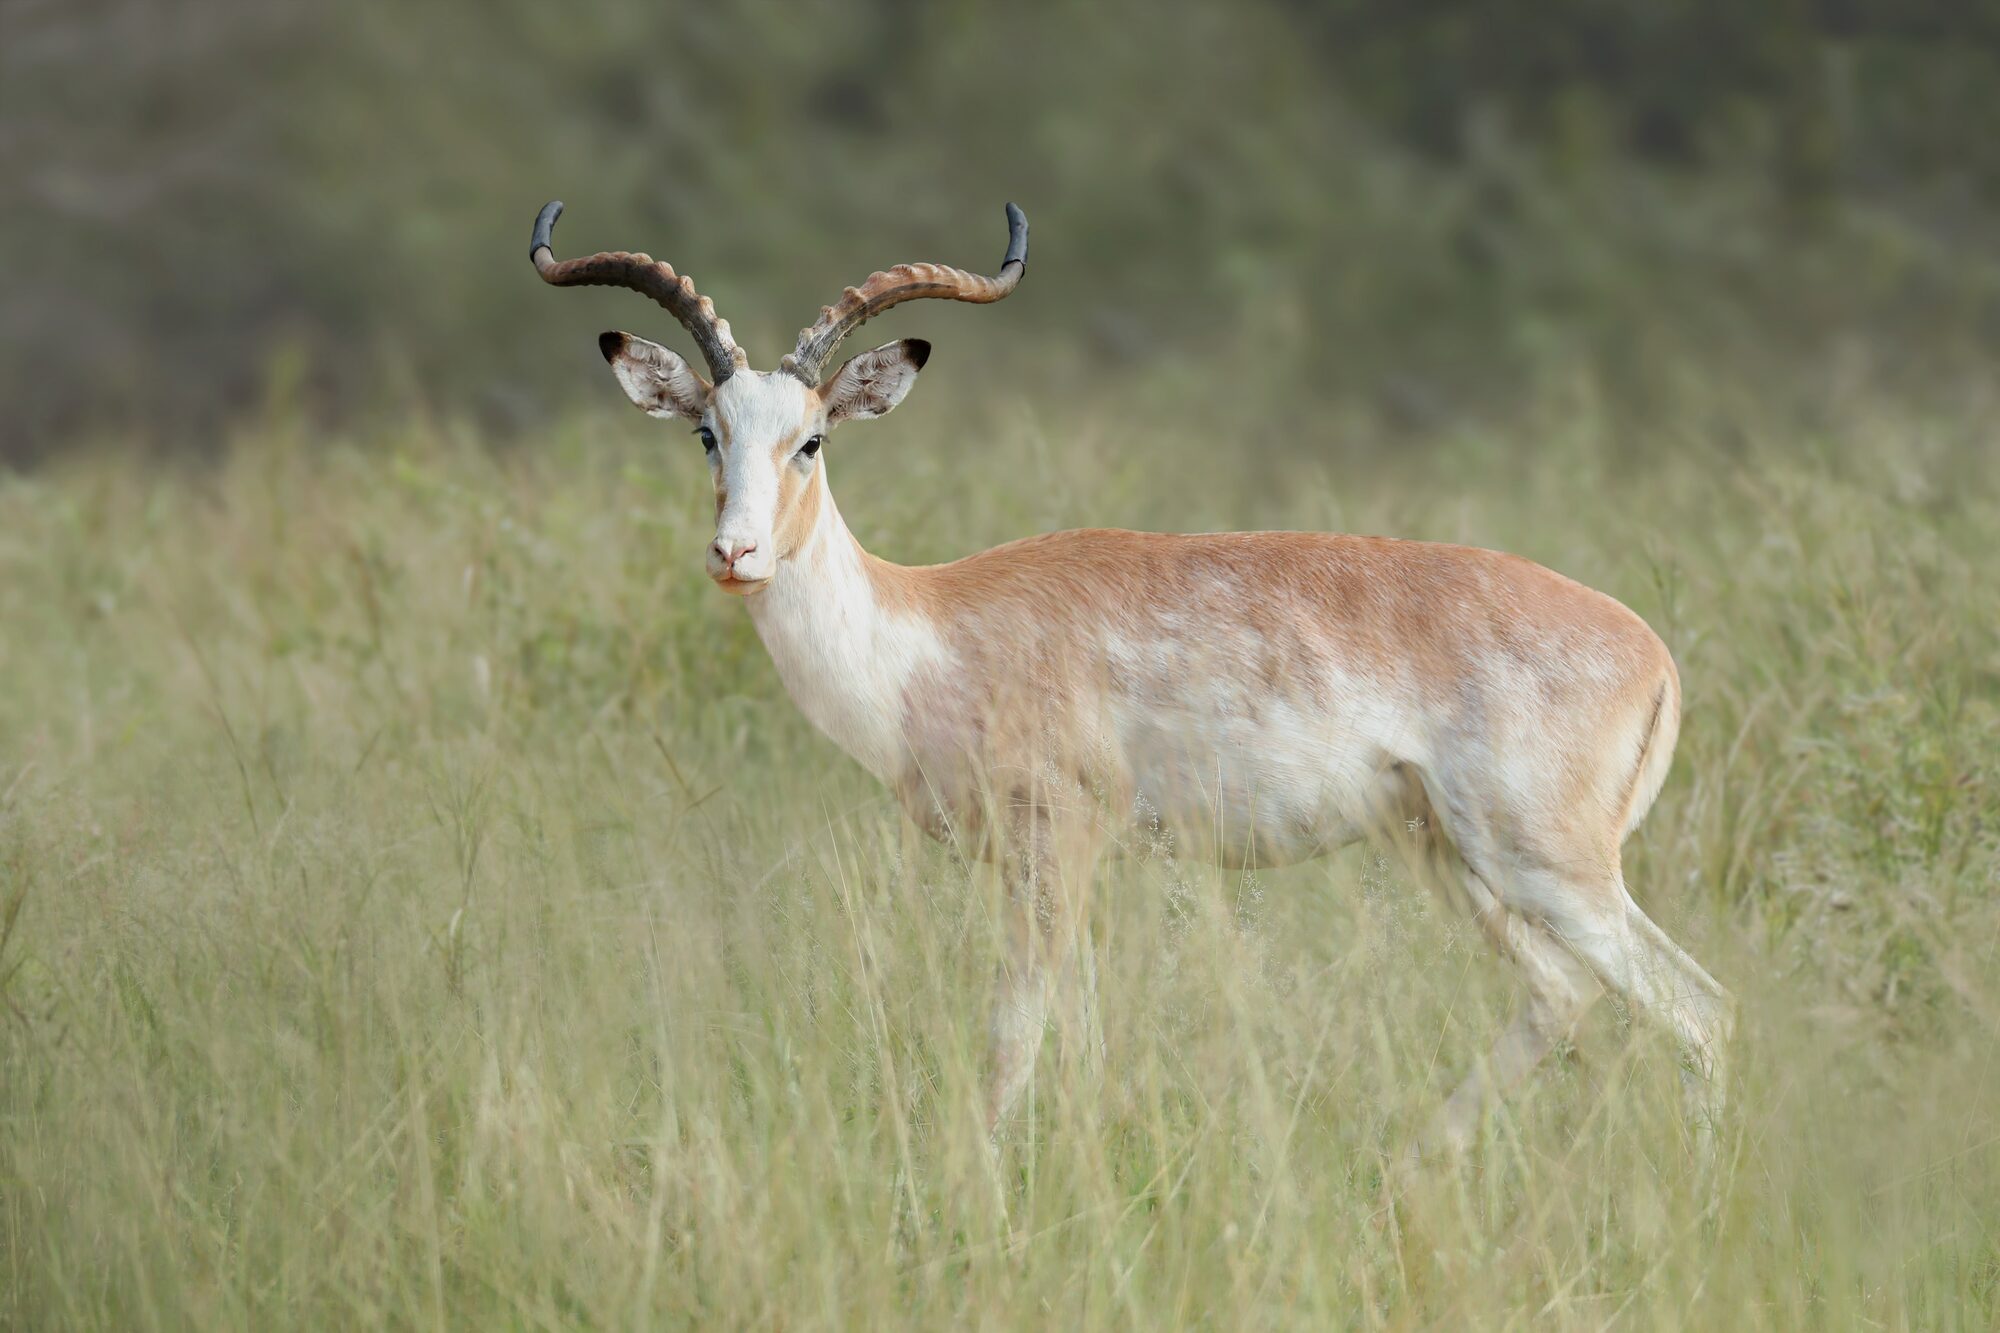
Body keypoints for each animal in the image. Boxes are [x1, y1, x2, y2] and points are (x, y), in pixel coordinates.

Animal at [529, 200, 1734, 1154]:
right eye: (706, 432)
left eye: (813, 439)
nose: (734, 554)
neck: (930, 630)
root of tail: (1653, 653)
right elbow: (1079, 1032)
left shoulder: (1053, 845)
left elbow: (1014, 1032)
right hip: (1455, 859)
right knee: (1564, 995)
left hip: (1548, 865)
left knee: (1699, 1008)